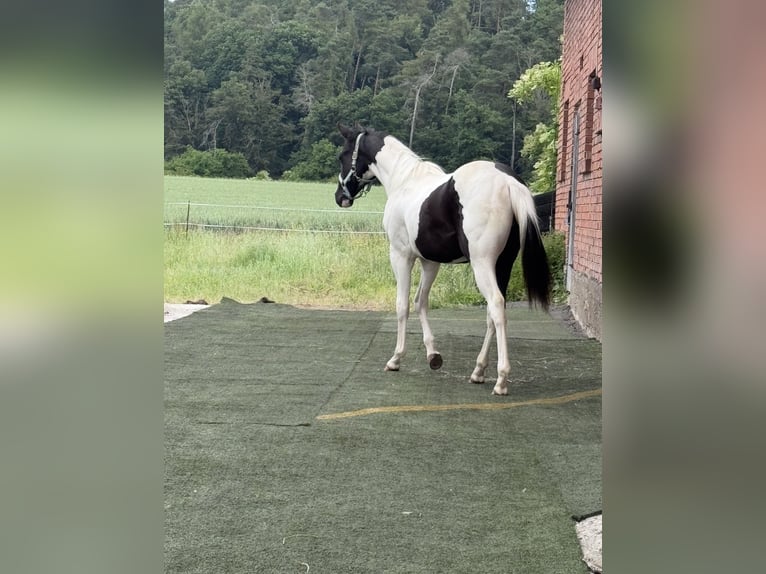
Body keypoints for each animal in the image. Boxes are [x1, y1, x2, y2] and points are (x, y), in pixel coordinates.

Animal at [334, 124, 551, 396]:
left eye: (342, 155)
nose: (340, 197)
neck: (404, 181)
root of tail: (506, 180)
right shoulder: (430, 262)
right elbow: (420, 301)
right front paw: (433, 355)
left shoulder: (401, 255)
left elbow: (402, 305)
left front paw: (396, 358)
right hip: (503, 265)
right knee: (491, 313)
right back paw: (478, 371)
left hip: (482, 264)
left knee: (497, 306)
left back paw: (501, 380)